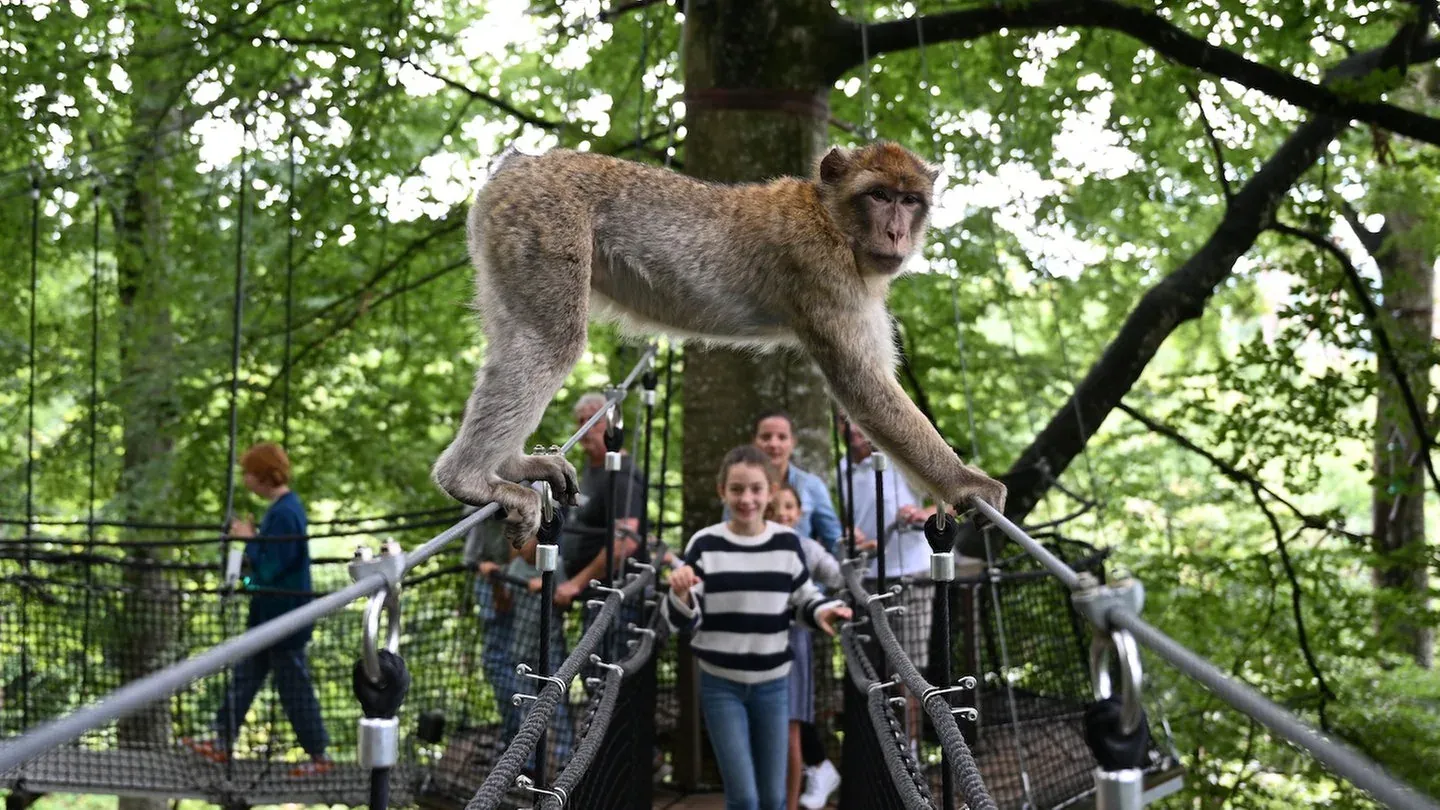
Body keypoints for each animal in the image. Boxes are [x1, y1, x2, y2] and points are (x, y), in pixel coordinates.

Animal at [432, 141, 1007, 548]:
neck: (829, 217)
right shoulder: (825, 274)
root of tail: (521, 163)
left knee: (517, 333)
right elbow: (863, 386)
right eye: (879, 195)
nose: (896, 233)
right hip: (542, 223)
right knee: (550, 341)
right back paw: (470, 479)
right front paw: (965, 484)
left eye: (910, 200)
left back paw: (508, 464)